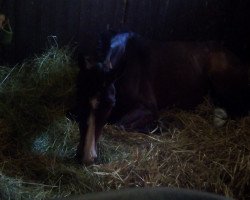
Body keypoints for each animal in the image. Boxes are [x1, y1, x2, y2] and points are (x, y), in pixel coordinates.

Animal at [72, 31, 248, 166]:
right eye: (79, 98)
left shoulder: (148, 108)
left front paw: (162, 126)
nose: (87, 157)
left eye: (109, 104)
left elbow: (120, 125)